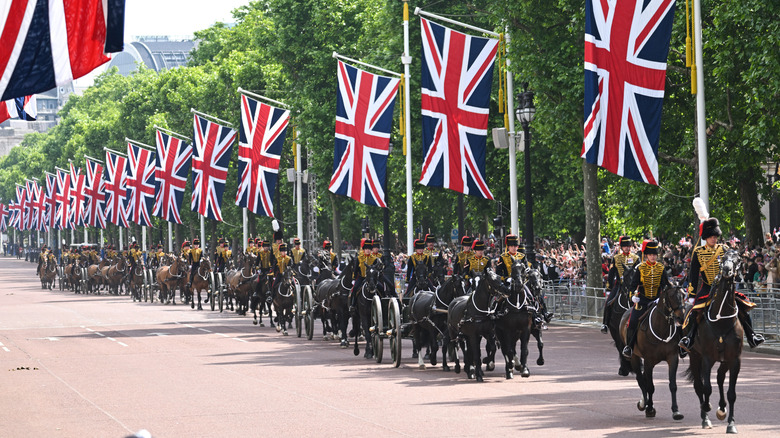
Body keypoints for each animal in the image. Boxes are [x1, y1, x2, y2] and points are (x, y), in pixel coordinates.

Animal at [620, 286, 684, 420]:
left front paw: (676, 411)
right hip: (634, 357)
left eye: (683, 295)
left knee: (644, 378)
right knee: (640, 379)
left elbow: (673, 385)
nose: (681, 318)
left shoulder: (672, 358)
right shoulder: (648, 360)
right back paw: (643, 403)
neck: (661, 329)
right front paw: (649, 409)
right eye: (671, 297)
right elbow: (650, 386)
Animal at [684, 248, 748, 432]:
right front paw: (706, 409)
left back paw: (721, 409)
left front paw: (731, 423)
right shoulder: (707, 358)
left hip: (723, 360)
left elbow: (731, 393)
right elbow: (706, 388)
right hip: (694, 356)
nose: (726, 270)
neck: (722, 319)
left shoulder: (734, 359)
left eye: (738, 259)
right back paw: (705, 416)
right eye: (723, 258)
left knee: (719, 377)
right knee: (699, 385)